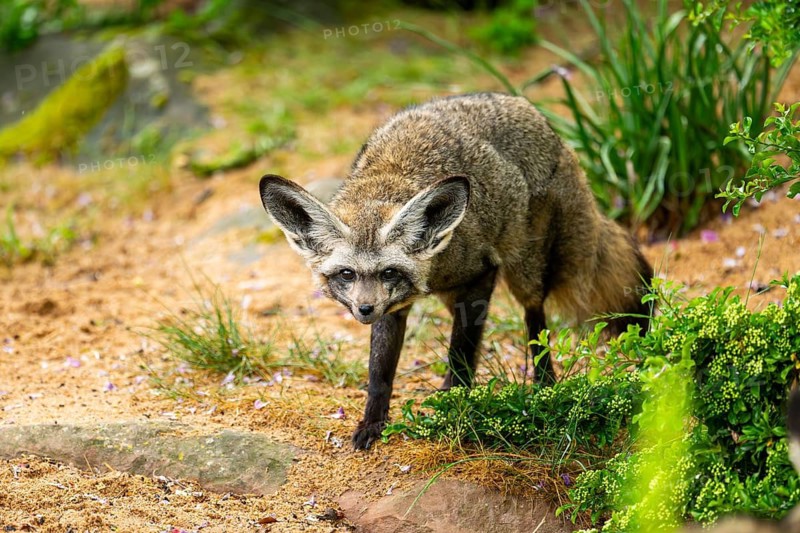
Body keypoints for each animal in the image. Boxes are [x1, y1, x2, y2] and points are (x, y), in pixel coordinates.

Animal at [258, 92, 652, 450]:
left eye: (388, 273)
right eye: (346, 274)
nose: (365, 310)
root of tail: (534, 113)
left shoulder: (480, 275)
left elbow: (460, 353)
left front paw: (454, 407)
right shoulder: (396, 309)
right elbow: (380, 373)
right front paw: (373, 422)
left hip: (523, 269)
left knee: (535, 319)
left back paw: (544, 383)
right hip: (457, 295)